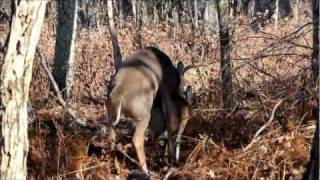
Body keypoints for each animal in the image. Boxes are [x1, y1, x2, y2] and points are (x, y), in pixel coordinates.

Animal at [107, 46, 192, 174]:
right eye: (185, 84)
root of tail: (119, 95)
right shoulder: (166, 91)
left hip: (112, 117)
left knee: (112, 138)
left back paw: (117, 168)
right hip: (143, 115)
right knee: (137, 140)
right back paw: (145, 170)